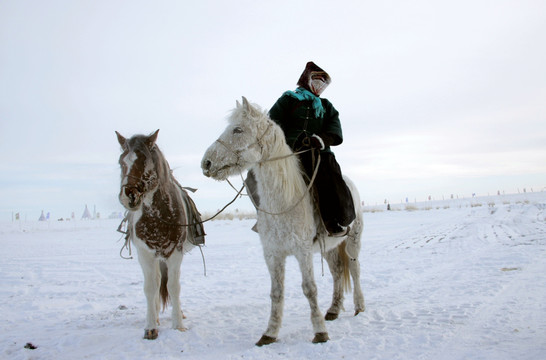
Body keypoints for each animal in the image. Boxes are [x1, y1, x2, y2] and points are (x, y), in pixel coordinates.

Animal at [116, 130, 203, 340]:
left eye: (144, 160)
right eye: (121, 162)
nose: (128, 195)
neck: (157, 216)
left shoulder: (175, 253)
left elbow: (173, 286)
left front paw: (178, 325)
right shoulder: (145, 254)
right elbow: (150, 288)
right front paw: (150, 327)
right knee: (155, 283)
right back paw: (154, 315)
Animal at [198, 97, 364, 344]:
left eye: (238, 129)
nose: (206, 163)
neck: (284, 201)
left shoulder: (303, 252)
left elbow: (310, 289)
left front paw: (320, 332)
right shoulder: (273, 254)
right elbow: (276, 292)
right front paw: (269, 333)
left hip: (353, 240)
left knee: (354, 269)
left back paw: (359, 306)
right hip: (329, 247)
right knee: (336, 271)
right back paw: (333, 310)